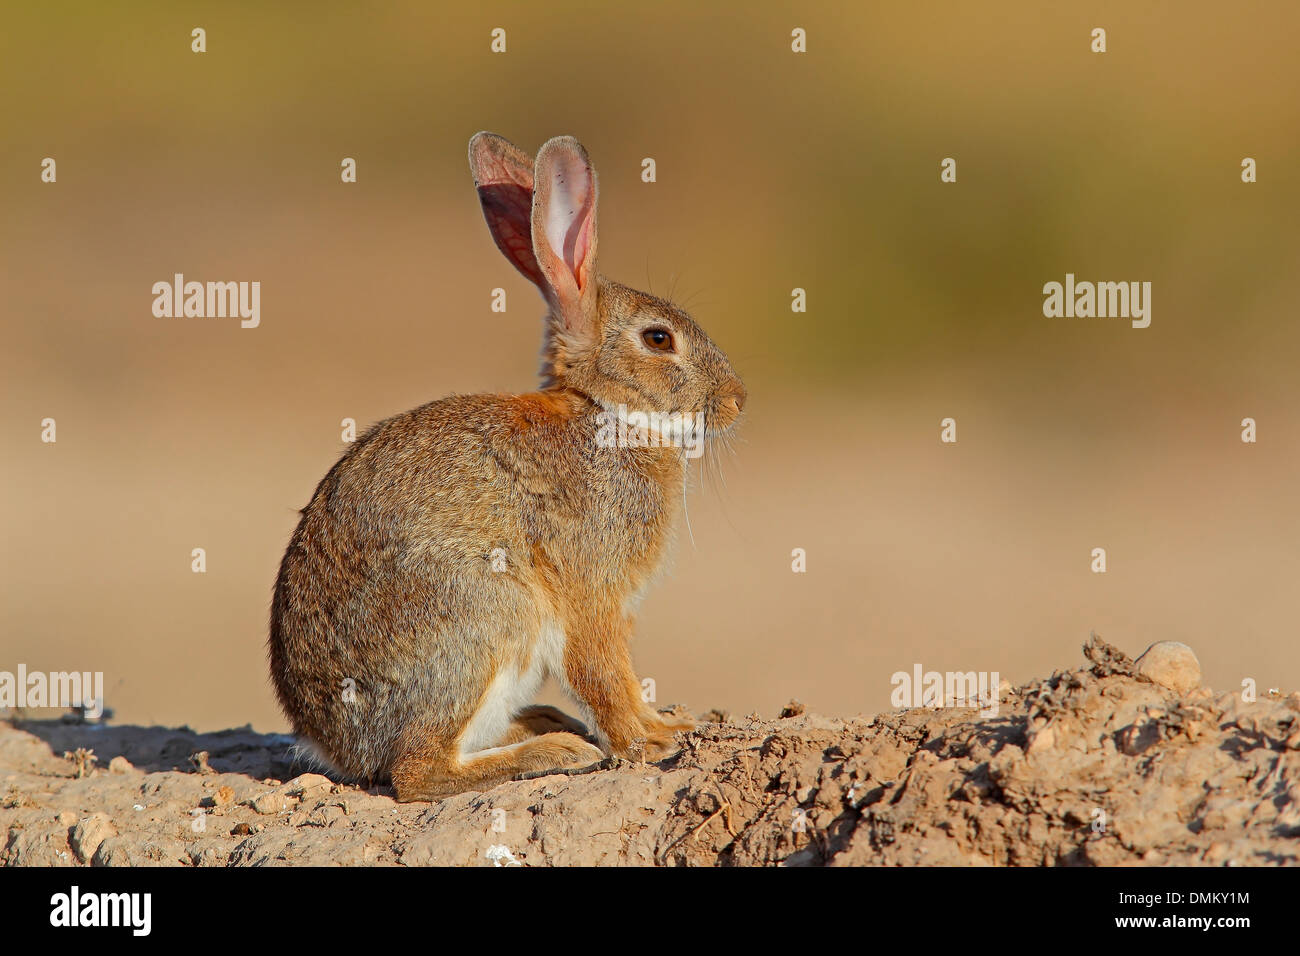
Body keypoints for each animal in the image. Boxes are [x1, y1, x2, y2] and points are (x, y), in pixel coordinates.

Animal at [268, 132, 746, 801]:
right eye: (658, 339)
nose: (737, 400)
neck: (600, 410)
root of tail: (331, 741)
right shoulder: (591, 594)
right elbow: (605, 673)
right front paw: (650, 742)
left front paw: (668, 724)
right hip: (486, 616)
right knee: (417, 772)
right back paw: (557, 751)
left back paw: (545, 724)